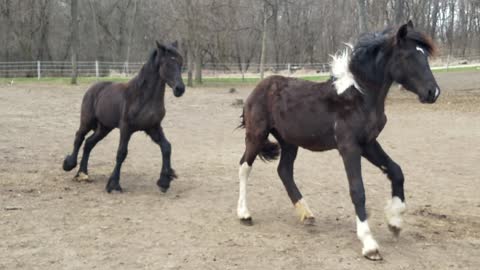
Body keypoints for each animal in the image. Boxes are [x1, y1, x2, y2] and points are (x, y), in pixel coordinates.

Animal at [63, 41, 184, 193]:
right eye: (167, 63)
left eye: (180, 63)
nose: (180, 89)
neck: (143, 97)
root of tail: (93, 88)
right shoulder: (126, 128)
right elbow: (121, 153)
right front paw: (113, 184)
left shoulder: (153, 128)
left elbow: (167, 147)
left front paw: (164, 181)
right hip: (87, 122)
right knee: (79, 137)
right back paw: (69, 165)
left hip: (104, 127)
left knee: (89, 143)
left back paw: (82, 174)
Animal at [235, 21, 438, 260]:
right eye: (407, 56)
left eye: (425, 55)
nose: (433, 92)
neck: (359, 97)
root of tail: (257, 89)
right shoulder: (349, 147)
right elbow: (358, 190)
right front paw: (369, 244)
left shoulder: (368, 143)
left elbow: (396, 171)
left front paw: (395, 222)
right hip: (257, 135)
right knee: (244, 166)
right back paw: (244, 214)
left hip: (289, 142)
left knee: (284, 171)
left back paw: (306, 214)